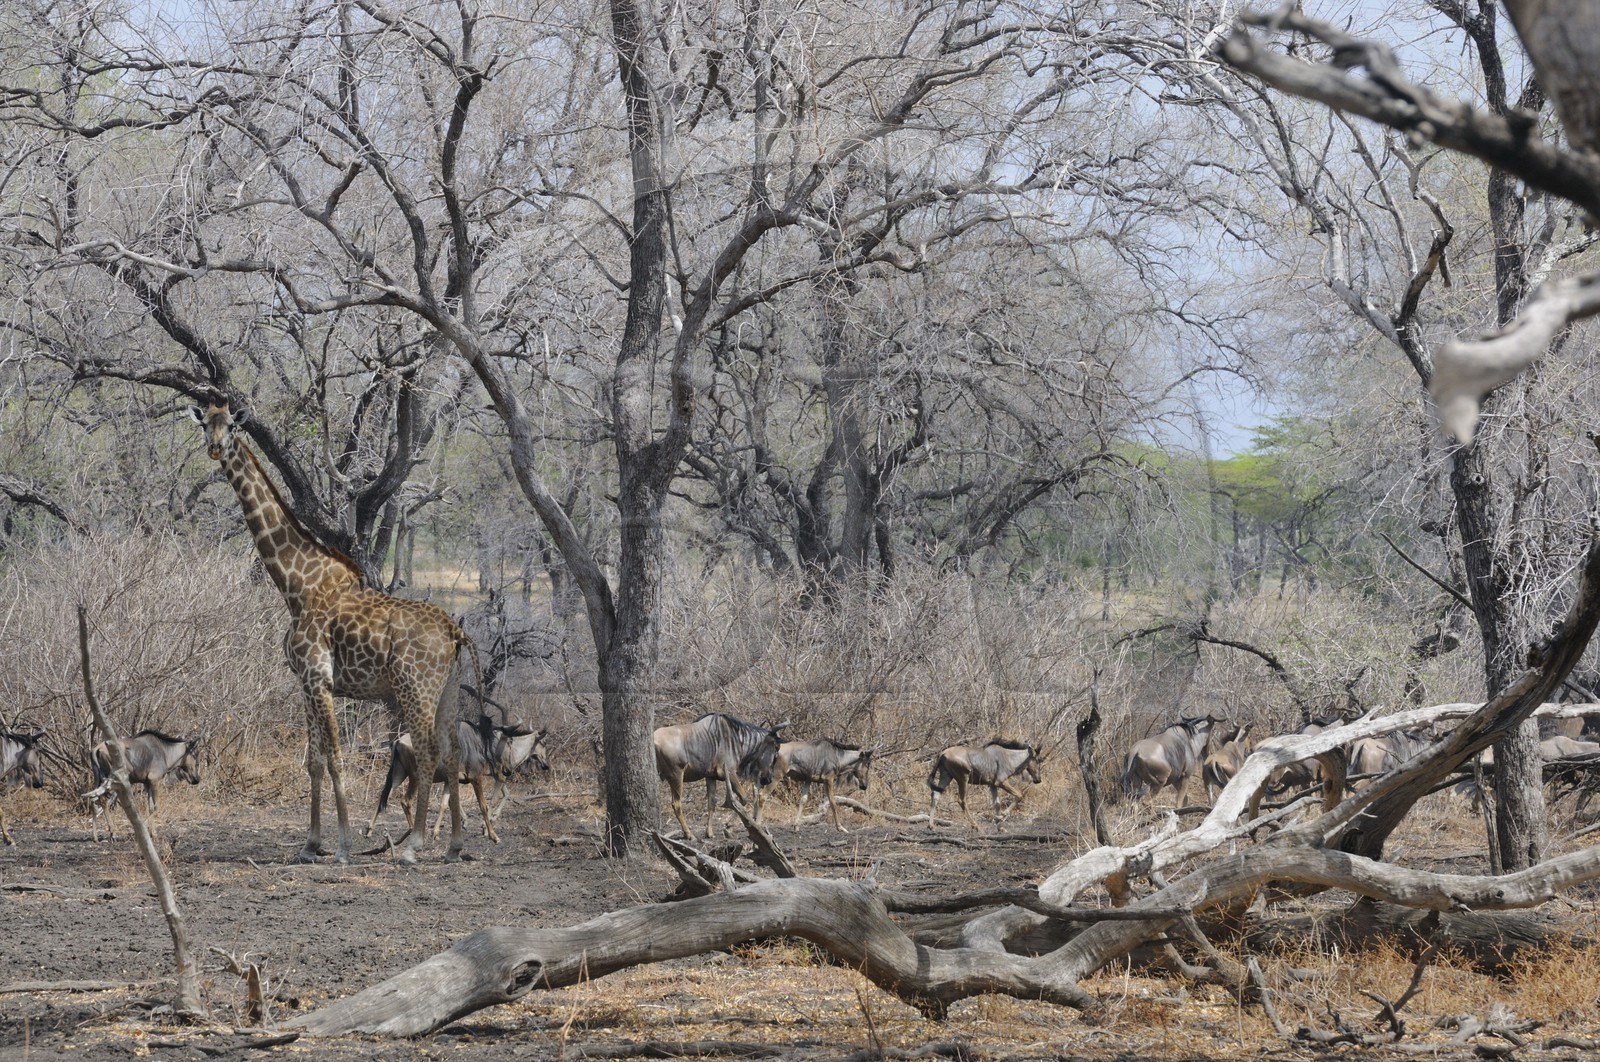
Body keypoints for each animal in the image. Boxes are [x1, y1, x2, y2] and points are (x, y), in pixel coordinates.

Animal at [189, 398, 481, 864]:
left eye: (232, 425)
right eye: (206, 423)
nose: (215, 448)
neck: (296, 586)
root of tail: (456, 632)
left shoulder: (319, 677)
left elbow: (336, 758)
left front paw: (343, 845)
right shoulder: (305, 682)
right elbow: (313, 761)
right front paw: (310, 844)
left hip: (415, 689)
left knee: (428, 752)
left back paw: (413, 846)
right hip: (449, 690)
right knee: (452, 753)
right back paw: (453, 846)